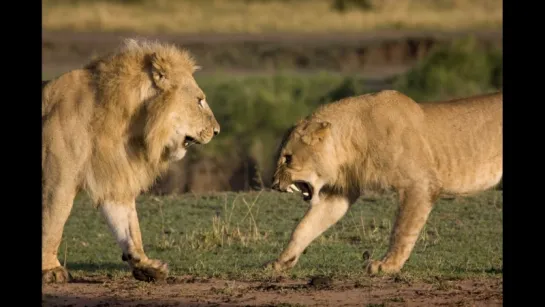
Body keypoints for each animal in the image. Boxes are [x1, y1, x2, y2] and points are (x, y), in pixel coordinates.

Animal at [42, 38, 221, 284]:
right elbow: (52, 222)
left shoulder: (114, 178)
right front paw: (50, 269)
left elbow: (127, 226)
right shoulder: (57, 181)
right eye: (199, 100)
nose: (217, 131)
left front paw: (145, 266)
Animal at [268, 90, 502, 276]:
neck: (353, 139)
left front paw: (387, 266)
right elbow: (305, 227)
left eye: (288, 158)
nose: (274, 184)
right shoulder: (339, 194)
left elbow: (402, 229)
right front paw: (281, 261)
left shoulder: (419, 183)